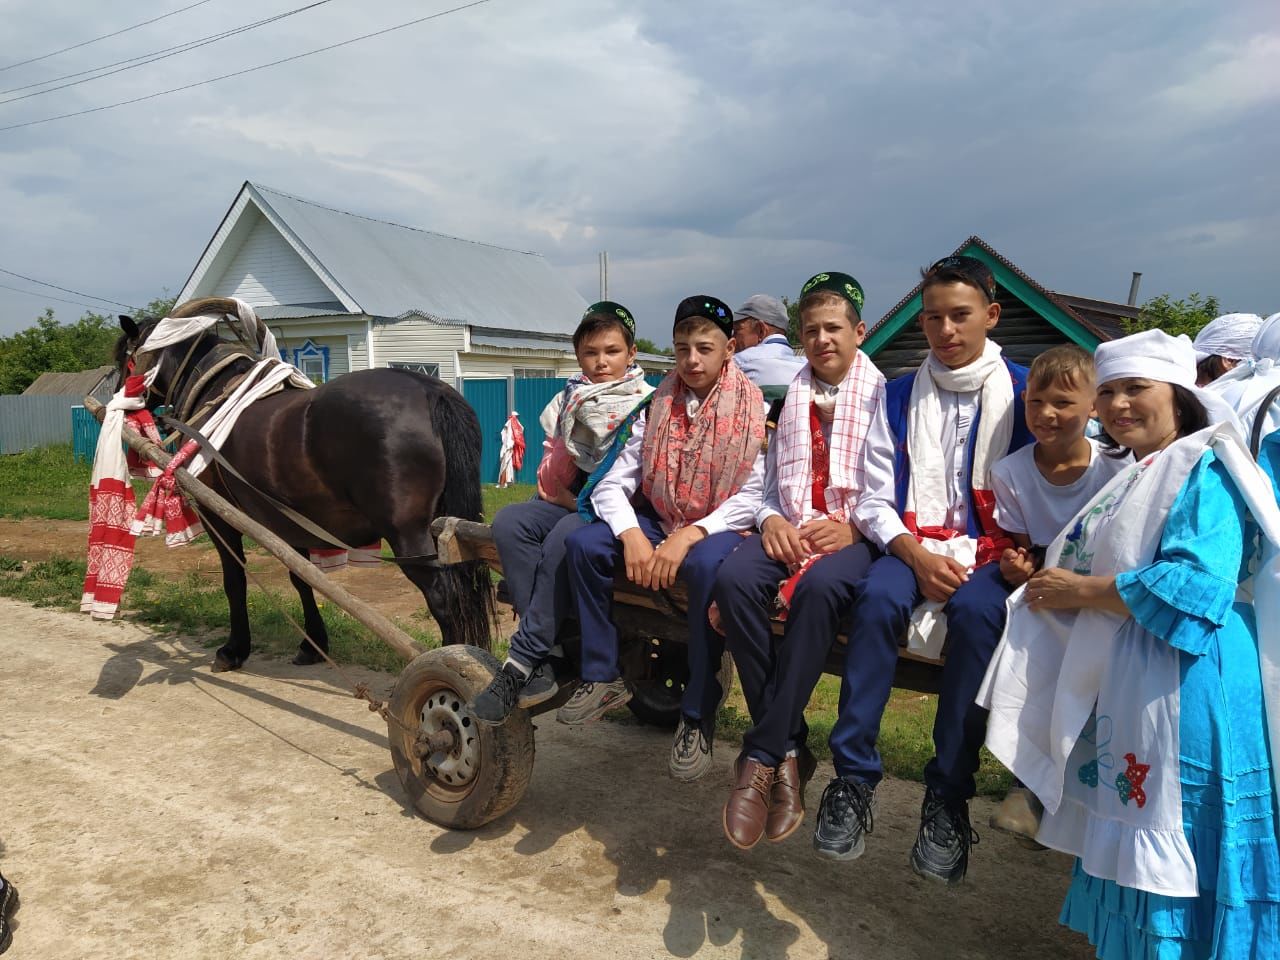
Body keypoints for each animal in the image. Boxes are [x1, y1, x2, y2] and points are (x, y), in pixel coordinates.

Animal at [115, 296, 494, 670]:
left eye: (125, 358)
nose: (118, 401)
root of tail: (428, 389)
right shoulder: (286, 522)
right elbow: (301, 577)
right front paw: (313, 644)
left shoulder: (218, 516)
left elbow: (234, 579)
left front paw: (234, 649)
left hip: (408, 535)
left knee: (445, 598)